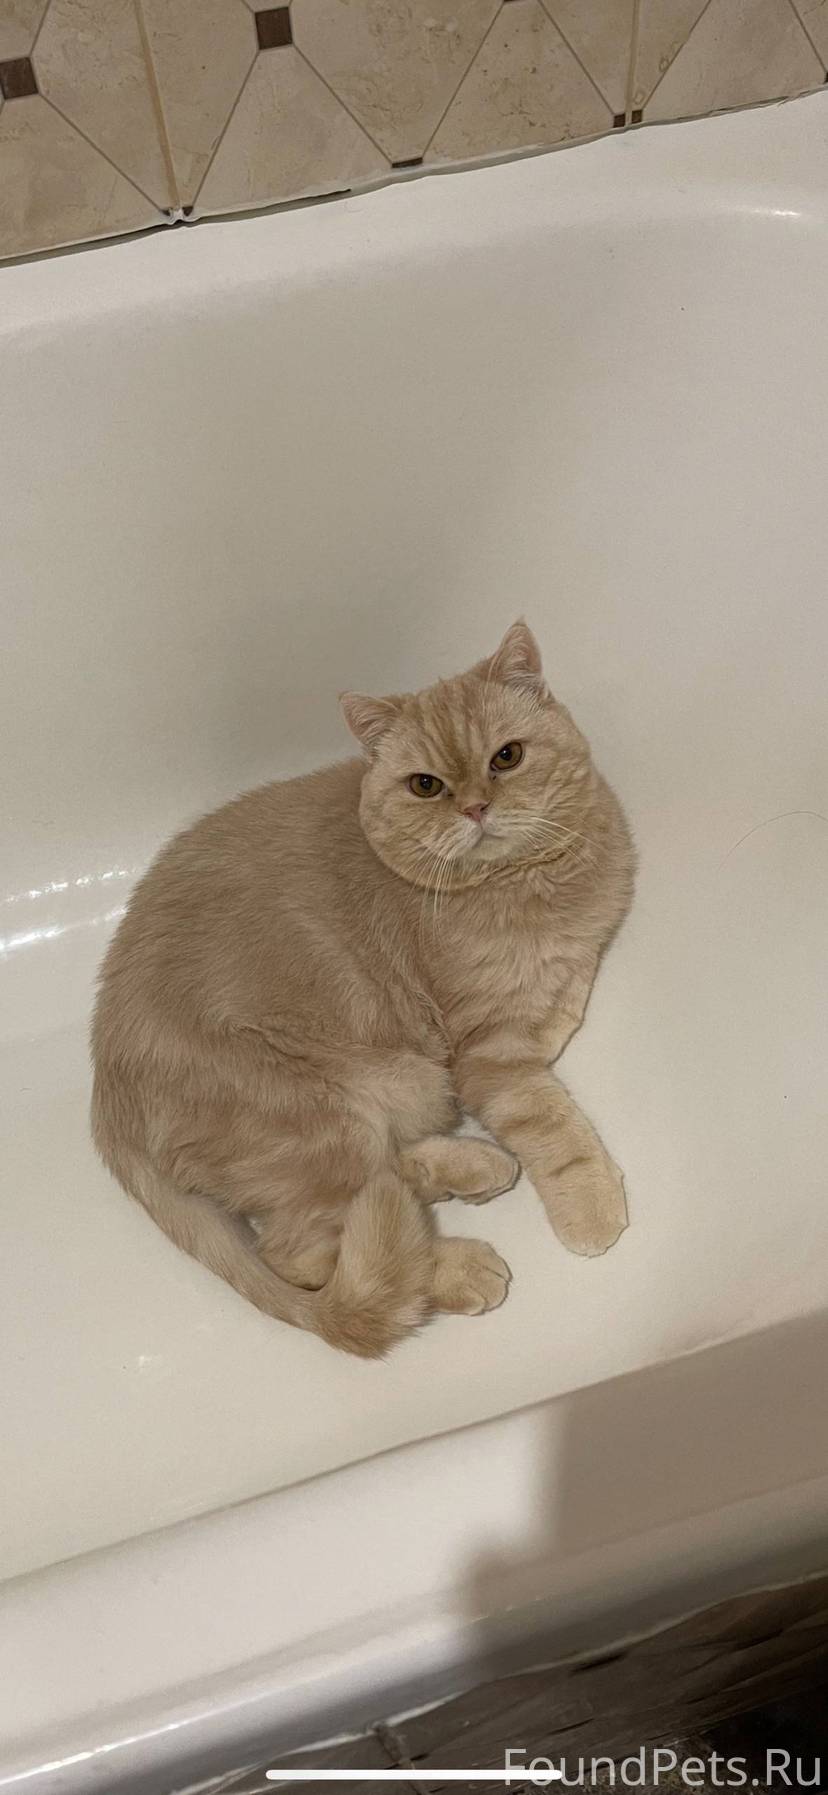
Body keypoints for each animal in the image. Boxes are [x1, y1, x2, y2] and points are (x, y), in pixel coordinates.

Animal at [91, 621, 634, 1357]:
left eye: (508, 757)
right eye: (426, 784)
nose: (476, 806)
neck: (524, 889)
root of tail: (106, 1090)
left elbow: (563, 1003)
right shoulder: (486, 1052)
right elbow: (551, 1122)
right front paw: (590, 1203)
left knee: (373, 1192)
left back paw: (467, 1169)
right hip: (327, 1113)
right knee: (312, 1254)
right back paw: (457, 1262)